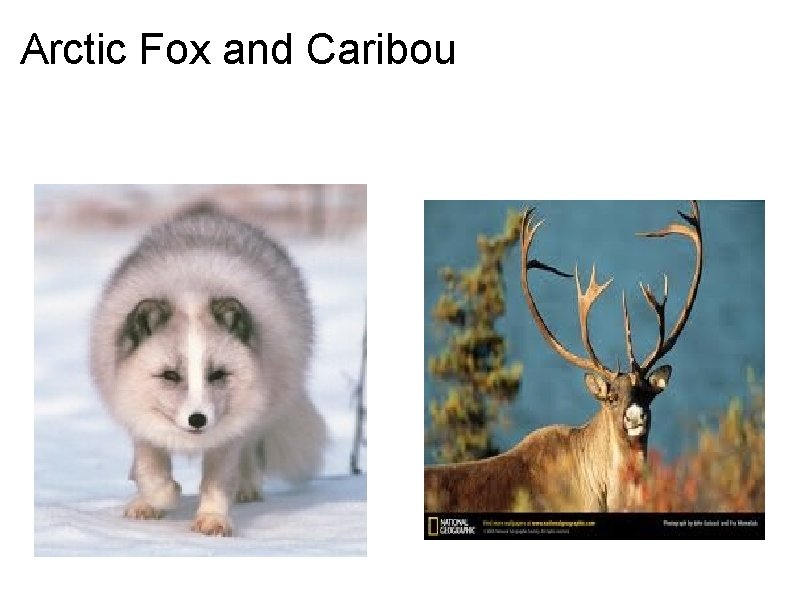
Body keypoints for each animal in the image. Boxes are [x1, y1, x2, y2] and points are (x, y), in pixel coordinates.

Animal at [89, 207, 327, 536]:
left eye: (217, 374)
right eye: (170, 375)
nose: (198, 419)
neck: (191, 289)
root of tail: (210, 216)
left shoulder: (228, 434)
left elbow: (217, 482)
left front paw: (213, 520)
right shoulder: (139, 419)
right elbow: (150, 471)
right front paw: (161, 497)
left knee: (251, 450)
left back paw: (247, 487)